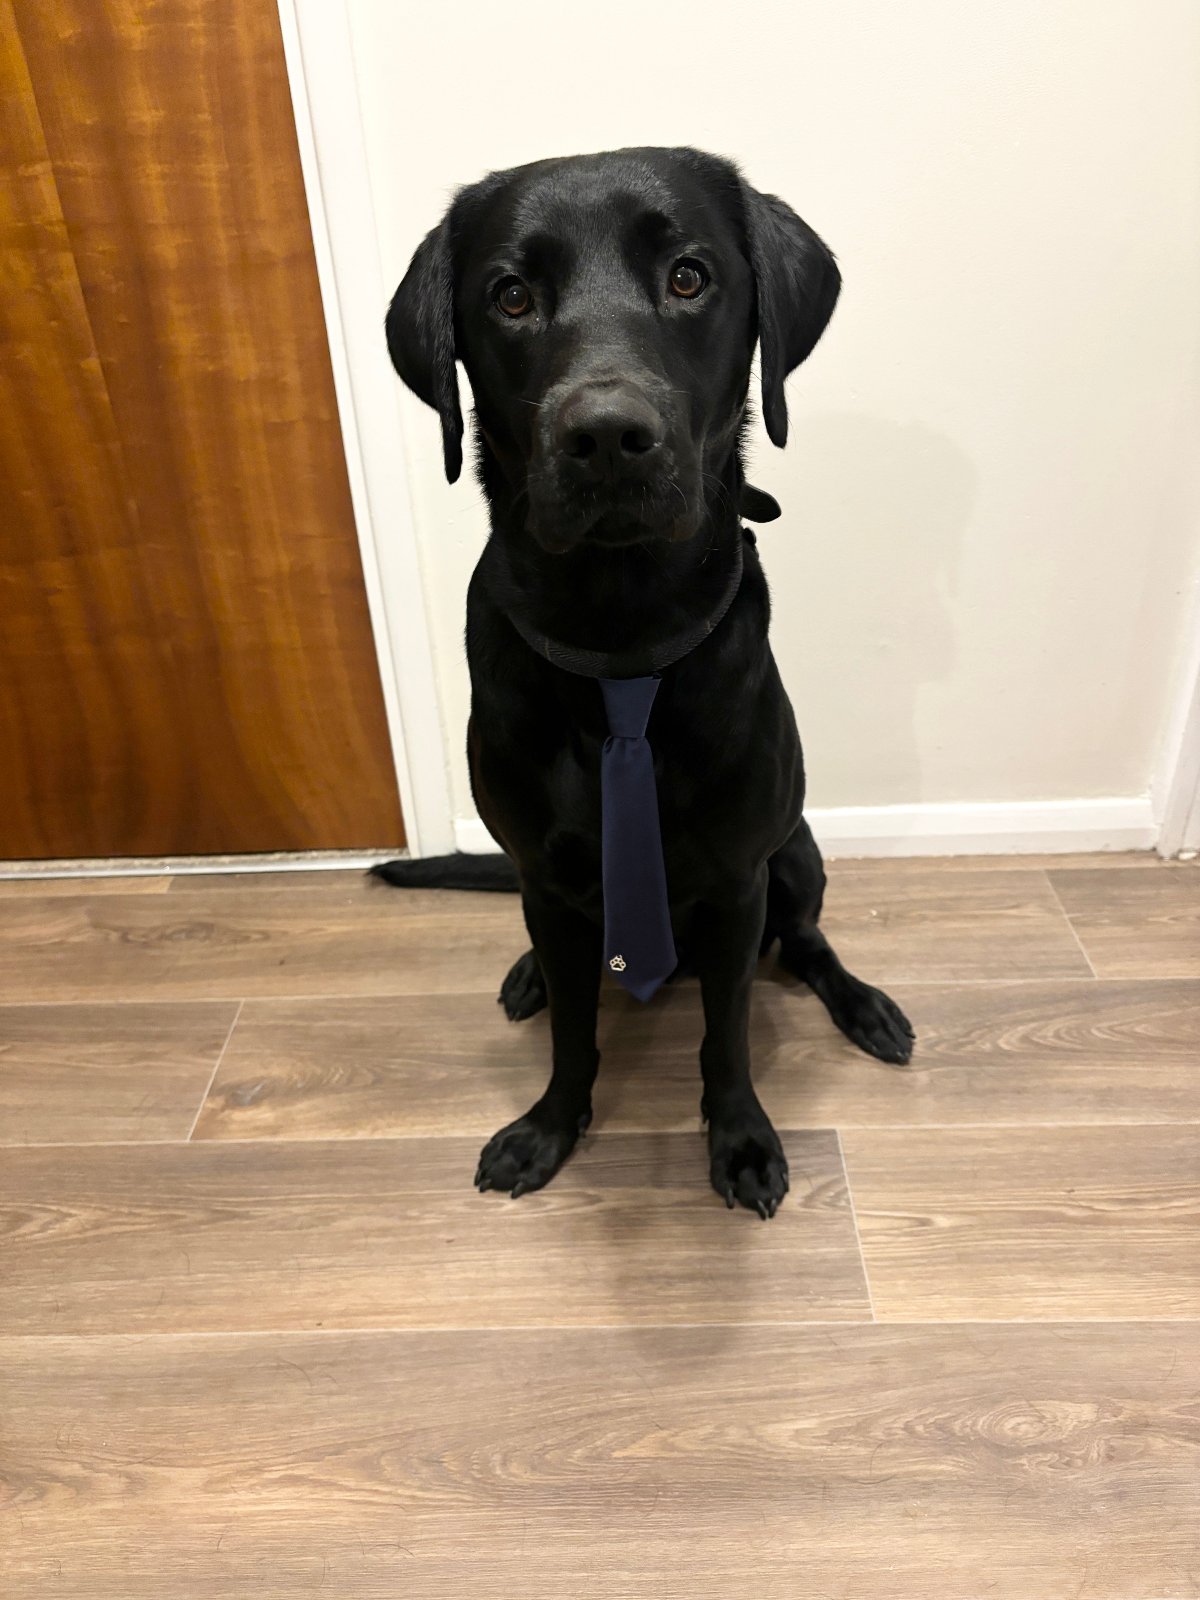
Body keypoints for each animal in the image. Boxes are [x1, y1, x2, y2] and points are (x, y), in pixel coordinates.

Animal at [380, 150, 915, 1216]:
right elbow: (575, 1033)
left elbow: (728, 1034)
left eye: (689, 277)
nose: (606, 436)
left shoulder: (739, 879)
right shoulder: (547, 878)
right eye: (510, 296)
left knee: (806, 944)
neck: (623, 643)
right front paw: (550, 1126)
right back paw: (528, 976)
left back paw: (864, 1006)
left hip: (796, 853)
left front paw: (741, 1138)